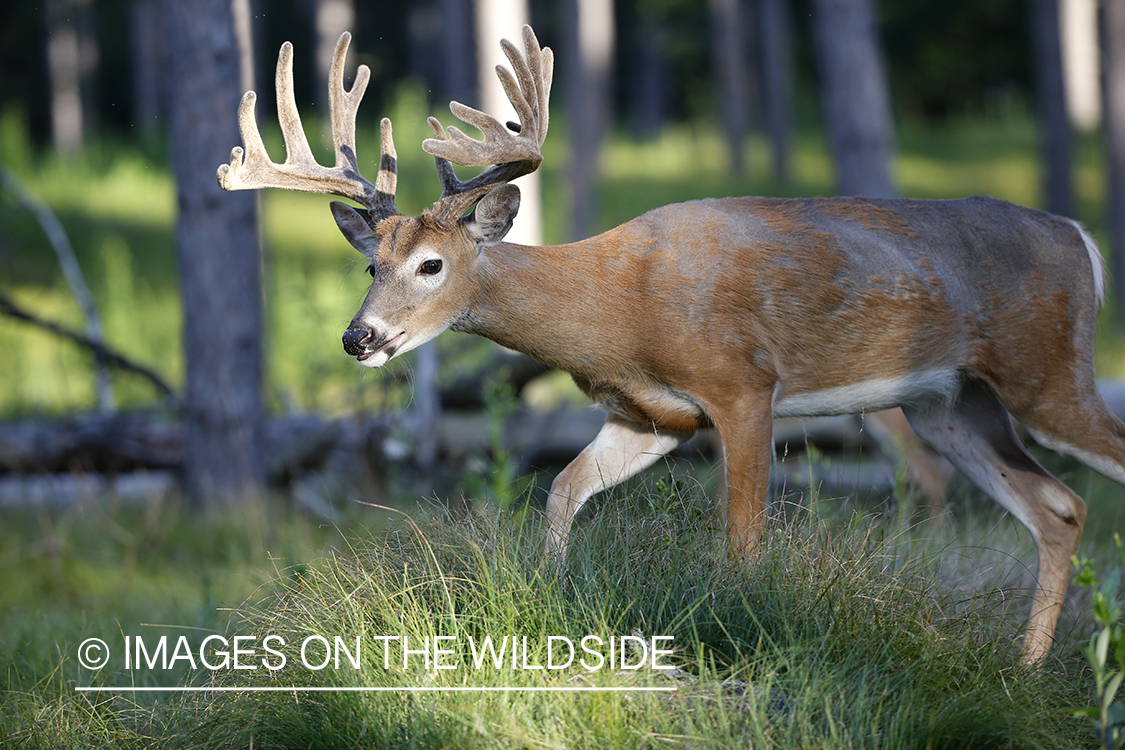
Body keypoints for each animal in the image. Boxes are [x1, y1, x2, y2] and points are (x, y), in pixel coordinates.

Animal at [221, 26, 1125, 661]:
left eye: (431, 264)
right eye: (370, 264)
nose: (359, 337)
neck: (621, 312)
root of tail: (1080, 238)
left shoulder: (742, 384)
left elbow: (744, 540)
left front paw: (746, 631)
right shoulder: (652, 416)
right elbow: (563, 491)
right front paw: (550, 600)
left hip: (1048, 370)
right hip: (953, 403)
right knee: (1058, 506)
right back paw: (1026, 666)